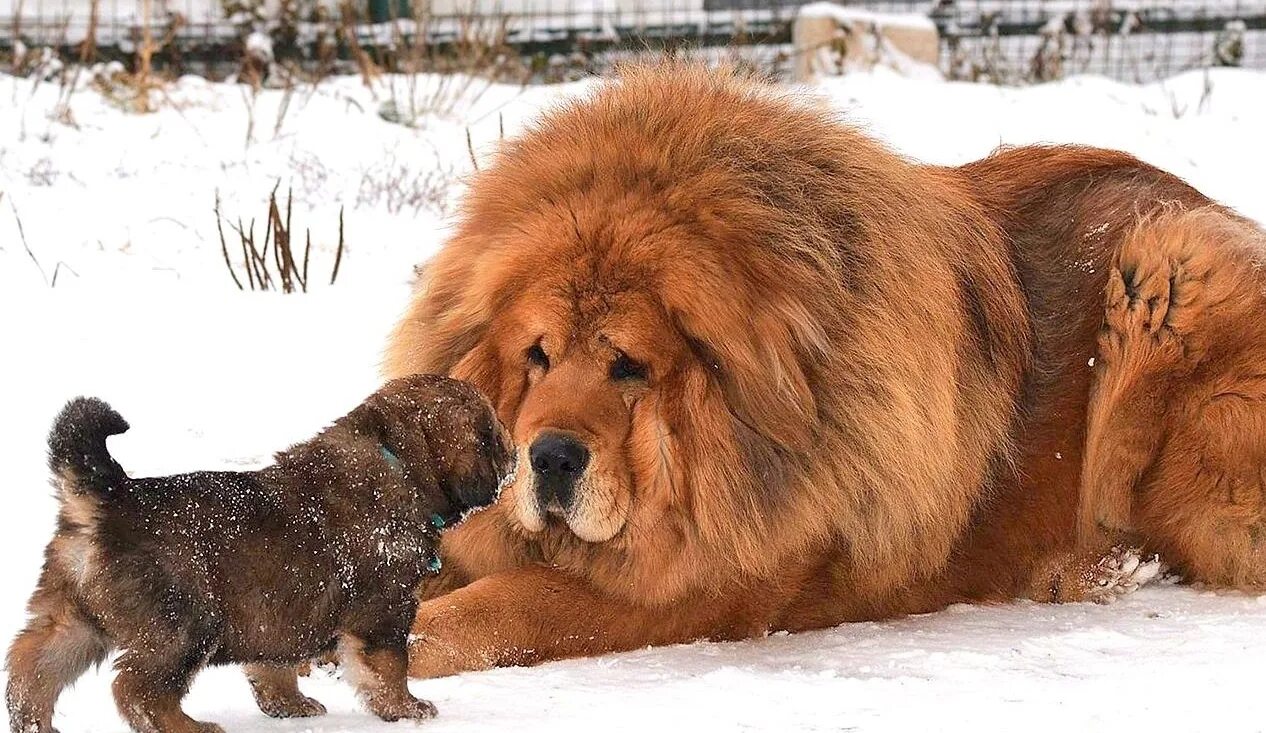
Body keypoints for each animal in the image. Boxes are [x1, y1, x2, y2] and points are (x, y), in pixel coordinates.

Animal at [8, 374, 513, 729]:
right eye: (491, 432)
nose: (514, 455)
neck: (397, 460)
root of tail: (107, 499)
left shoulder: (282, 612)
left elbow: (275, 666)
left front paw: (289, 705)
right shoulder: (385, 609)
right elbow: (389, 666)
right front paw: (407, 708)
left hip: (73, 619)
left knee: (31, 668)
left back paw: (34, 724)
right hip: (185, 624)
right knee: (138, 690)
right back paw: (190, 727)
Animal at [382, 65, 1266, 678]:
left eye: (627, 365)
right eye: (537, 356)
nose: (551, 457)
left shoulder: (705, 583)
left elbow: (516, 601)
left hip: (1170, 266)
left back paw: (1089, 567)